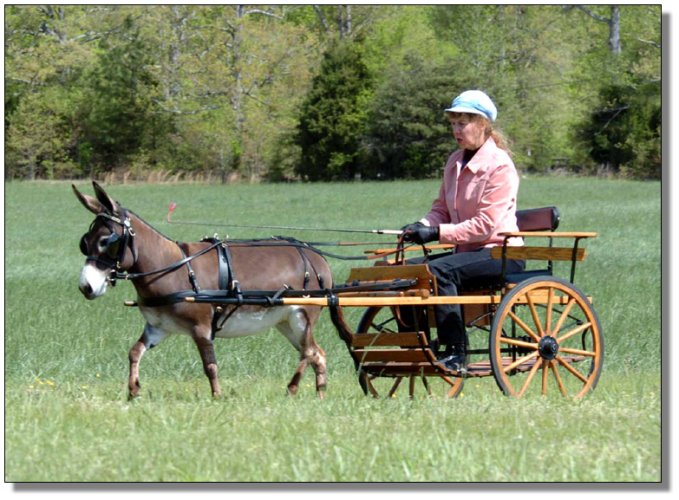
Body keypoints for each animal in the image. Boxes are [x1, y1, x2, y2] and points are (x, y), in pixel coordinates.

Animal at [73, 181, 332, 399]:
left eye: (107, 241)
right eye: (84, 242)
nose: (86, 287)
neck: (171, 268)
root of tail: (317, 258)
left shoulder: (201, 328)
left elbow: (210, 366)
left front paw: (217, 398)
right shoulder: (158, 327)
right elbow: (134, 352)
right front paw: (133, 391)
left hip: (303, 316)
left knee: (308, 352)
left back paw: (292, 388)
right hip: (285, 321)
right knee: (318, 354)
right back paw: (319, 395)